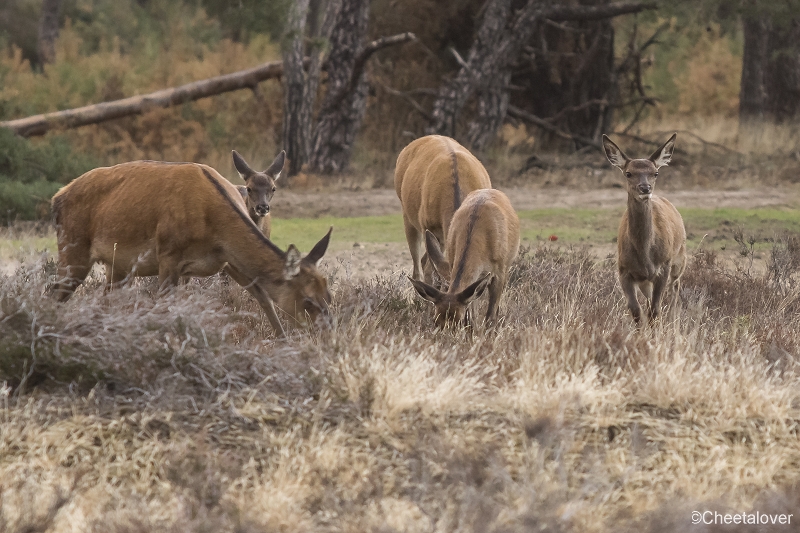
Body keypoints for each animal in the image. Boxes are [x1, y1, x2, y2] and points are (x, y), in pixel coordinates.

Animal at [50, 157, 332, 336]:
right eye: (307, 300)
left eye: (328, 295)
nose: (325, 333)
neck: (214, 226)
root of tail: (57, 197)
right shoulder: (168, 254)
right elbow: (165, 306)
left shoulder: (228, 260)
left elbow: (264, 297)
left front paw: (283, 341)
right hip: (72, 247)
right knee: (55, 293)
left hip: (117, 265)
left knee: (103, 298)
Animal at [600, 133, 688, 324]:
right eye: (628, 173)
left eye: (655, 173)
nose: (645, 188)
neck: (645, 257)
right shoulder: (624, 270)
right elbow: (636, 310)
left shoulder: (663, 267)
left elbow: (655, 310)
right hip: (645, 281)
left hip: (680, 260)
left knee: (675, 292)